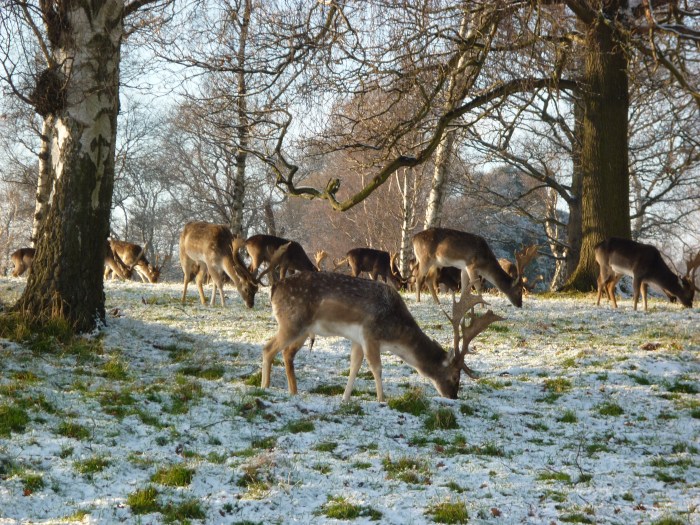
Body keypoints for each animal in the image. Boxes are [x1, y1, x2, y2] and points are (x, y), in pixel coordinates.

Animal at [260, 270, 503, 401]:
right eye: (454, 377)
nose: (453, 396)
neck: (393, 334)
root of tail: (274, 288)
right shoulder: (370, 334)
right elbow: (376, 368)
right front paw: (382, 399)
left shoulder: (358, 340)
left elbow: (354, 367)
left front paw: (345, 398)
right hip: (292, 322)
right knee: (268, 347)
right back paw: (265, 387)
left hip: (302, 330)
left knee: (286, 352)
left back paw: (293, 392)